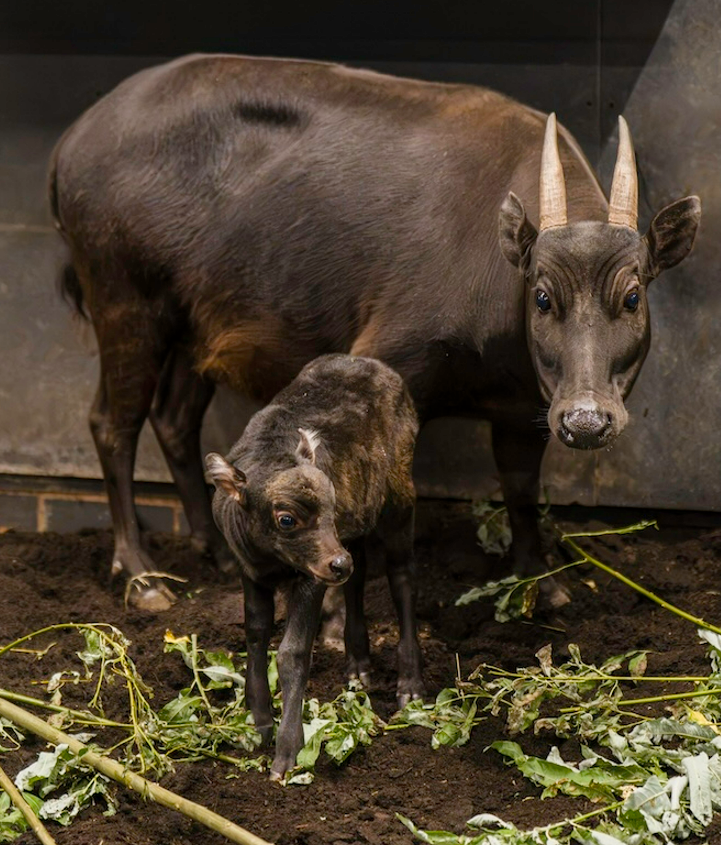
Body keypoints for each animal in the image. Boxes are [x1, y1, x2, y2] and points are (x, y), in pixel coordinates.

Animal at [49, 54, 701, 611]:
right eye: (542, 296)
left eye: (633, 296)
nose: (587, 421)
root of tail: (74, 139)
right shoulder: (386, 360)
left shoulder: (524, 409)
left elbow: (519, 490)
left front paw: (542, 585)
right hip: (124, 302)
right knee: (112, 425)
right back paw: (141, 576)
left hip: (195, 325)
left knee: (174, 420)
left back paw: (215, 549)